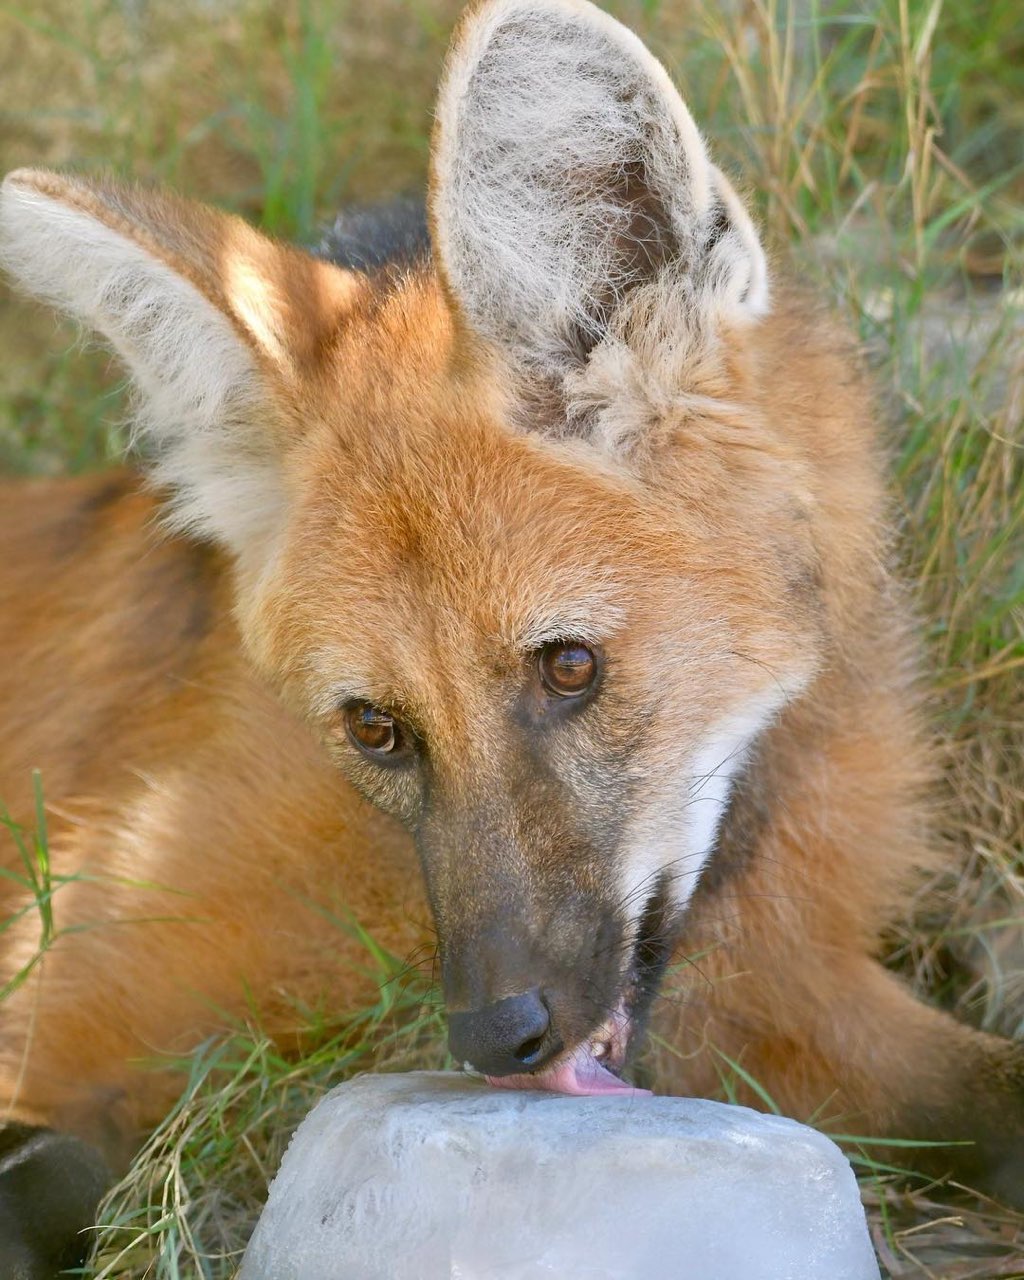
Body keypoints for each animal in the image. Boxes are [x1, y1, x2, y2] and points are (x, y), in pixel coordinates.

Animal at [0, 0, 1021, 1273]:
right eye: (375, 726)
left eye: (569, 666)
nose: (497, 1033)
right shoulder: (61, 996)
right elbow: (54, 1155)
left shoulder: (773, 990)